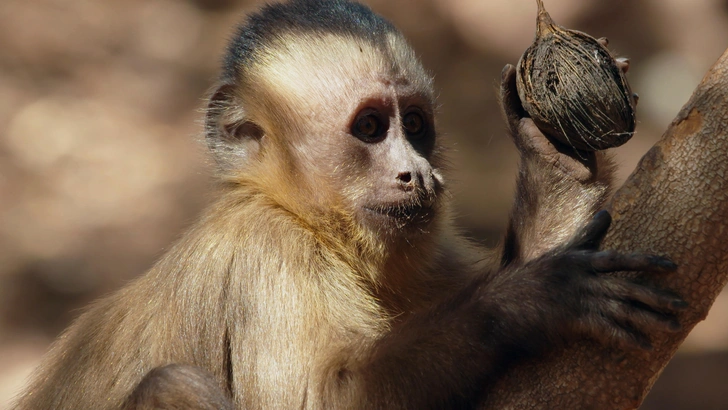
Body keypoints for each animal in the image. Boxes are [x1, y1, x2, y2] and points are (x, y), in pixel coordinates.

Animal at [11, 0, 684, 410]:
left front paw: (555, 162)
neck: (306, 218)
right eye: (369, 128)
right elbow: (324, 397)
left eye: (416, 126)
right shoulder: (269, 252)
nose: (418, 174)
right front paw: (530, 301)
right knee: (171, 385)